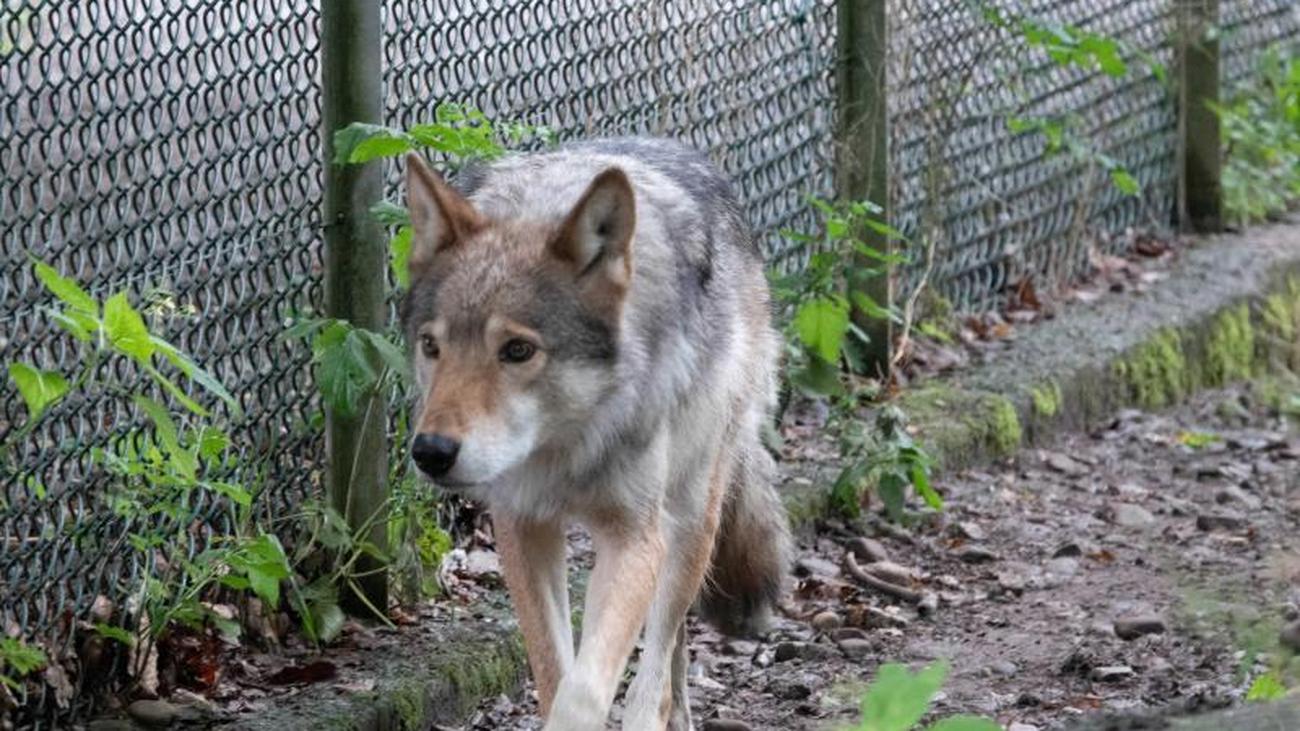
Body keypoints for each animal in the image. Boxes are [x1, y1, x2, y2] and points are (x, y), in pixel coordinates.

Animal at [400, 137, 785, 728]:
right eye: (431, 346)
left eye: (517, 350)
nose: (431, 452)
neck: (568, 446)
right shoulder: (523, 527)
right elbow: (554, 673)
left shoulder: (634, 538)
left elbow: (584, 690)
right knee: (673, 649)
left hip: (691, 517)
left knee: (660, 659)